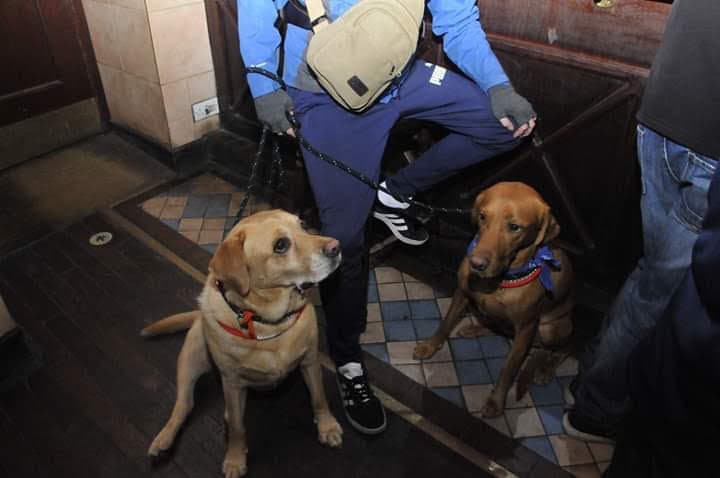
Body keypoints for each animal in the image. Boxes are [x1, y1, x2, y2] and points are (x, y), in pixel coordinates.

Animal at [141, 209, 343, 478]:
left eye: (302, 225)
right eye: (281, 245)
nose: (336, 246)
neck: (269, 324)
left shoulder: (310, 362)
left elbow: (319, 399)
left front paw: (327, 427)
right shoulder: (233, 383)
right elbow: (238, 429)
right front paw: (235, 458)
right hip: (190, 359)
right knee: (184, 405)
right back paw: (164, 439)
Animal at [414, 182, 574, 417]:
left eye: (515, 227)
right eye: (482, 216)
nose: (476, 263)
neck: (502, 279)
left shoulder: (526, 327)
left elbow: (508, 370)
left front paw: (496, 402)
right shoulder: (462, 294)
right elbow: (446, 323)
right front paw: (430, 346)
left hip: (551, 328)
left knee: (561, 349)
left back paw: (546, 368)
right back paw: (475, 328)